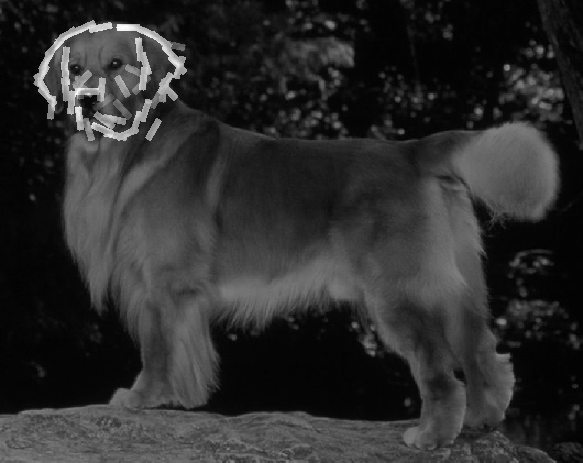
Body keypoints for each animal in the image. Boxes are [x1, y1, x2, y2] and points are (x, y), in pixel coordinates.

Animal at [42, 24, 559, 449]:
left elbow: (157, 347)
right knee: (482, 350)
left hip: (400, 291)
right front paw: (177, 398)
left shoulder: (164, 281)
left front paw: (143, 396)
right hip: (458, 281)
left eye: (115, 64)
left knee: (441, 373)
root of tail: (413, 150)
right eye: (75, 68)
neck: (127, 150)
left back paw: (431, 436)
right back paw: (481, 419)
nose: (85, 100)